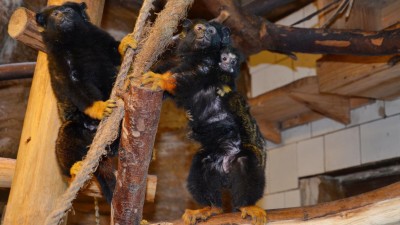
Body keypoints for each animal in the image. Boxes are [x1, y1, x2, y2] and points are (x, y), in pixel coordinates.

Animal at [36, 1, 136, 202]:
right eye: (56, 14)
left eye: (68, 11)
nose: (63, 16)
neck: (73, 42)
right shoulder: (58, 60)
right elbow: (75, 87)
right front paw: (99, 107)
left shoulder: (98, 37)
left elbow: (114, 54)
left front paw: (124, 46)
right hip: (81, 132)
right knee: (67, 131)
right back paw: (72, 169)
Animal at [142, 20, 268, 224]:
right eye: (199, 28)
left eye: (211, 31)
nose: (206, 34)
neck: (198, 55)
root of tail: (225, 165)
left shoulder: (213, 68)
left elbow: (190, 79)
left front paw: (161, 79)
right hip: (213, 160)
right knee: (202, 164)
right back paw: (211, 208)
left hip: (238, 154)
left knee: (245, 161)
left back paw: (245, 204)